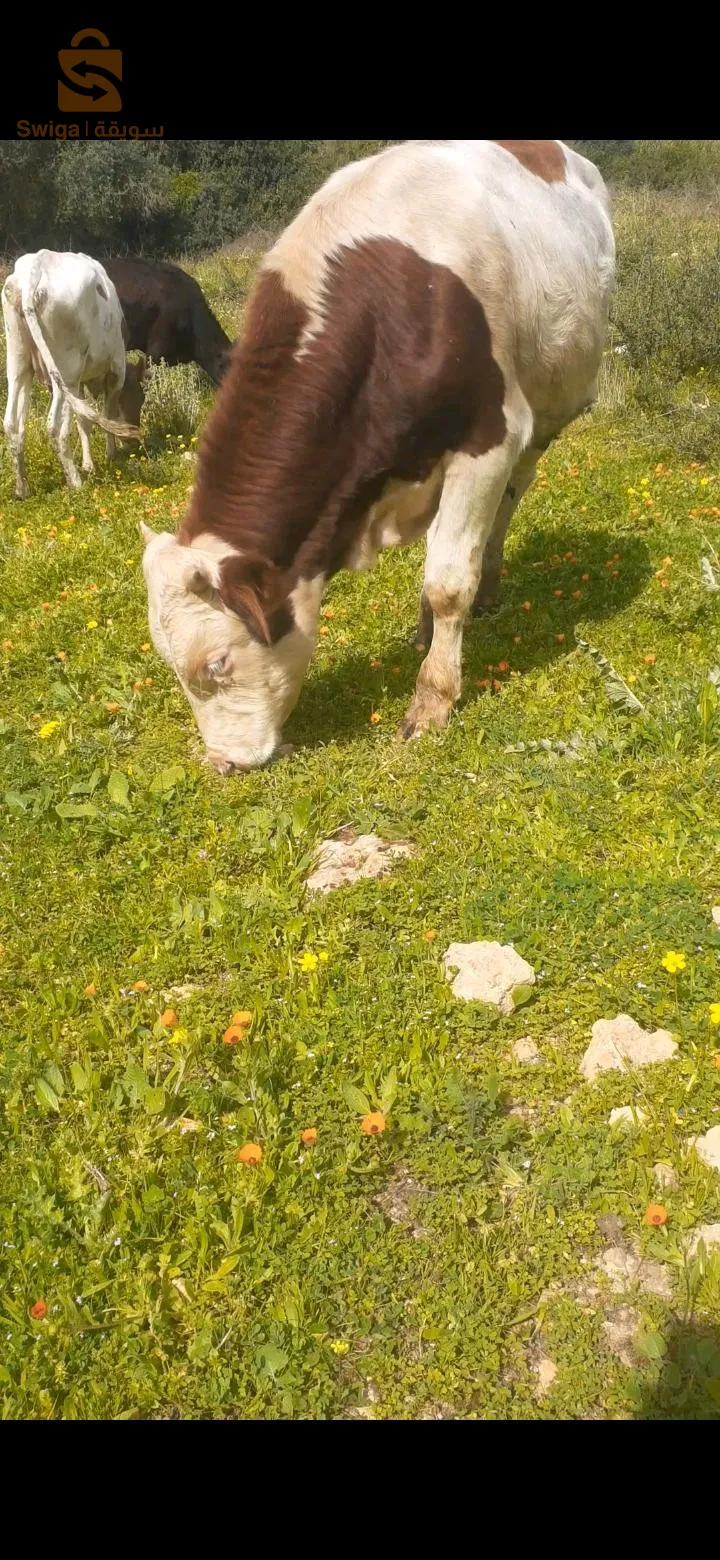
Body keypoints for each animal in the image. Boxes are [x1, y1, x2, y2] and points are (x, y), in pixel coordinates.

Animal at [2, 249, 145, 499]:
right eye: (140, 398)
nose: (134, 441)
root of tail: (34, 268)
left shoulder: (81, 382)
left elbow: (84, 420)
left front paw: (89, 464)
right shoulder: (116, 369)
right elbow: (107, 412)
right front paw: (110, 455)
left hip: (19, 363)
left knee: (12, 423)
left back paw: (22, 488)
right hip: (66, 373)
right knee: (54, 427)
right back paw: (75, 481)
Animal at [140, 140, 615, 773]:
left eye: (217, 662)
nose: (224, 762)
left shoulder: (490, 437)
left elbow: (448, 581)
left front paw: (433, 699)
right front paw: (426, 641)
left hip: (545, 413)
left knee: (510, 499)